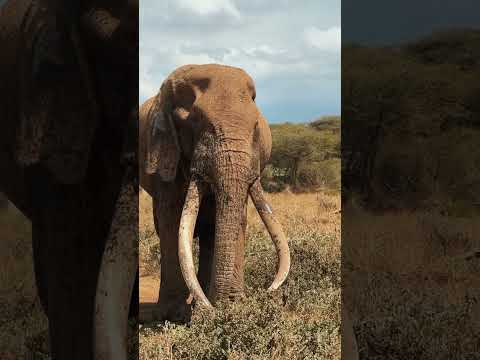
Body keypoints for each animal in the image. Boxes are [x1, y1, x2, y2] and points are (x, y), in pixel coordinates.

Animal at [137, 64, 290, 320]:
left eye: (256, 128)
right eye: (196, 121)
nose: (221, 307)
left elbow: (234, 220)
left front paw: (230, 306)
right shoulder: (165, 155)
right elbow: (172, 220)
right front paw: (173, 314)